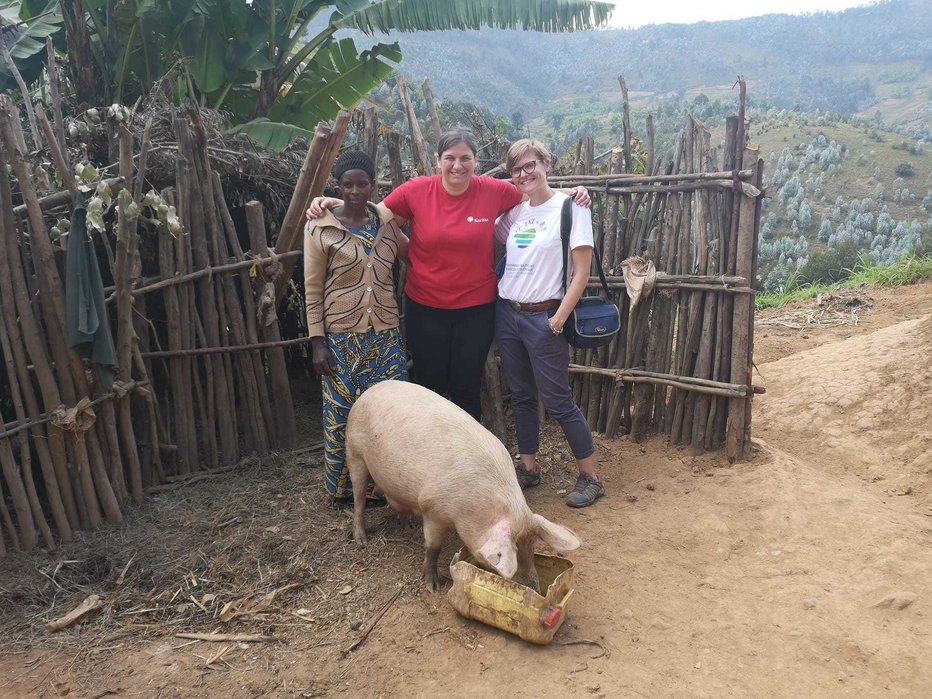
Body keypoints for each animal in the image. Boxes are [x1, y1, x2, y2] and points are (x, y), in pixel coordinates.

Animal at [346, 380, 580, 592]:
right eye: (515, 554)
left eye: (532, 548)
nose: (535, 589)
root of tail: (370, 390)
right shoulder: (431, 508)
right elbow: (433, 547)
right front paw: (433, 587)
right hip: (354, 453)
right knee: (359, 498)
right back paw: (361, 540)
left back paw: (407, 525)